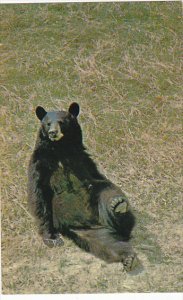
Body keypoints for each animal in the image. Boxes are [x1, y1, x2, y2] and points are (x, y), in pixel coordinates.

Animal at [27, 102, 138, 270]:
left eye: (62, 122)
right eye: (47, 123)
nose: (53, 132)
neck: (61, 149)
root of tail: (96, 223)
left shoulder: (84, 160)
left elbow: (97, 178)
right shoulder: (39, 164)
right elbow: (38, 196)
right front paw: (52, 238)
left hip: (98, 202)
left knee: (109, 196)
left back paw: (118, 205)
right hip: (87, 232)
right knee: (107, 244)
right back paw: (127, 257)